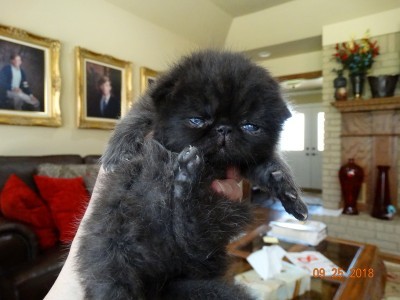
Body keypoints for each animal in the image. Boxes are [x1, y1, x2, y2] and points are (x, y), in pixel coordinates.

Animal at [78, 50, 310, 298]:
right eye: (197, 120)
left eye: (249, 126)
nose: (224, 129)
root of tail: (163, 281)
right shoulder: (149, 106)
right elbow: (134, 118)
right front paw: (118, 154)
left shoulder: (248, 160)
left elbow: (271, 164)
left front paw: (289, 192)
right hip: (114, 247)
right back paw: (186, 176)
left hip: (220, 220)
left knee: (192, 235)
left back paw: (186, 179)